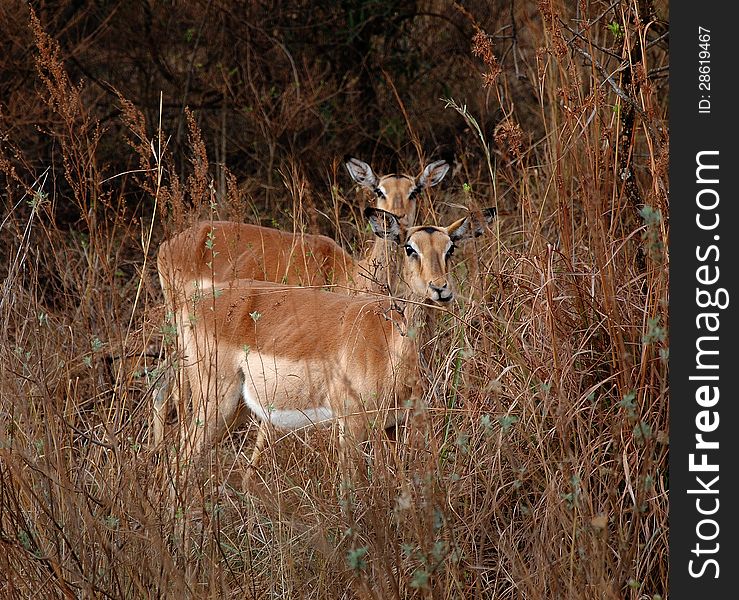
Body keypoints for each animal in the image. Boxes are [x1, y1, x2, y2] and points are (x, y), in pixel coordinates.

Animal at [176, 206, 494, 474]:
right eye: (409, 247)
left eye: (450, 247)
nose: (440, 288)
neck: (388, 342)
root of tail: (196, 302)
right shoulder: (351, 424)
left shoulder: (395, 426)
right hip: (216, 401)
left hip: (238, 408)